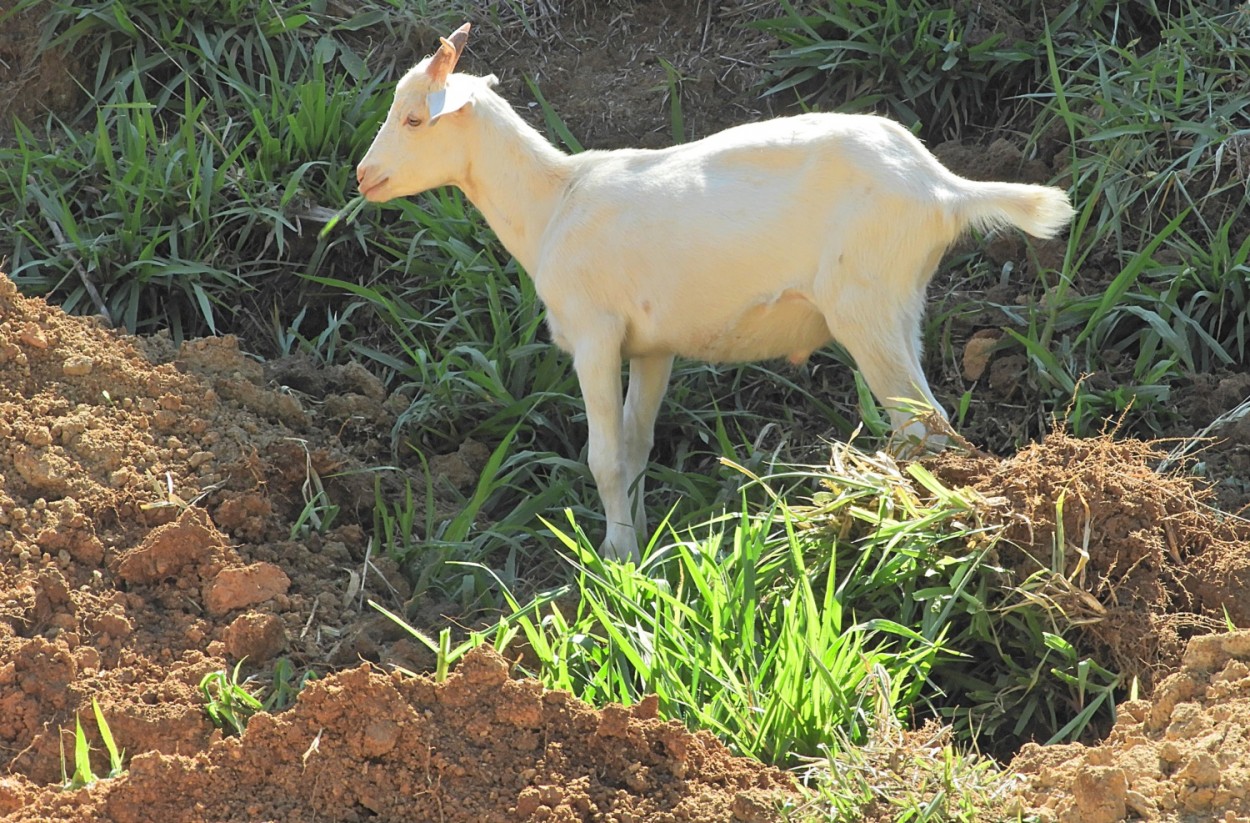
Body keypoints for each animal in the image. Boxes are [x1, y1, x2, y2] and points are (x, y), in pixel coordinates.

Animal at [360, 27, 1075, 565]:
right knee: (931, 426)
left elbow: (604, 456)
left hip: (863, 305)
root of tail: (943, 187)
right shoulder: (651, 346)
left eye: (415, 118)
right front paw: (638, 541)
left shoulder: (594, 334)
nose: (365, 176)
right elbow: (635, 447)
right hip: (901, 306)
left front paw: (614, 560)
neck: (555, 203)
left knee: (922, 425)